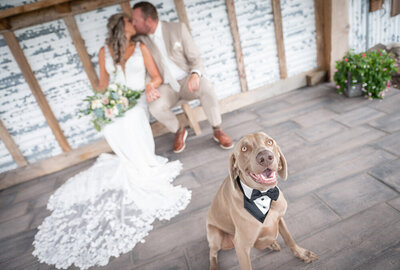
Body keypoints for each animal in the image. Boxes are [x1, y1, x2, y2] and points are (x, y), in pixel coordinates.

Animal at [206, 132, 316, 268]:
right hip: (215, 236)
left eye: (269, 142)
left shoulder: (279, 218)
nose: (265, 157)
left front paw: (301, 254)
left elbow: (289, 238)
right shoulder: (241, 246)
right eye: (244, 148)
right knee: (212, 253)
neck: (263, 195)